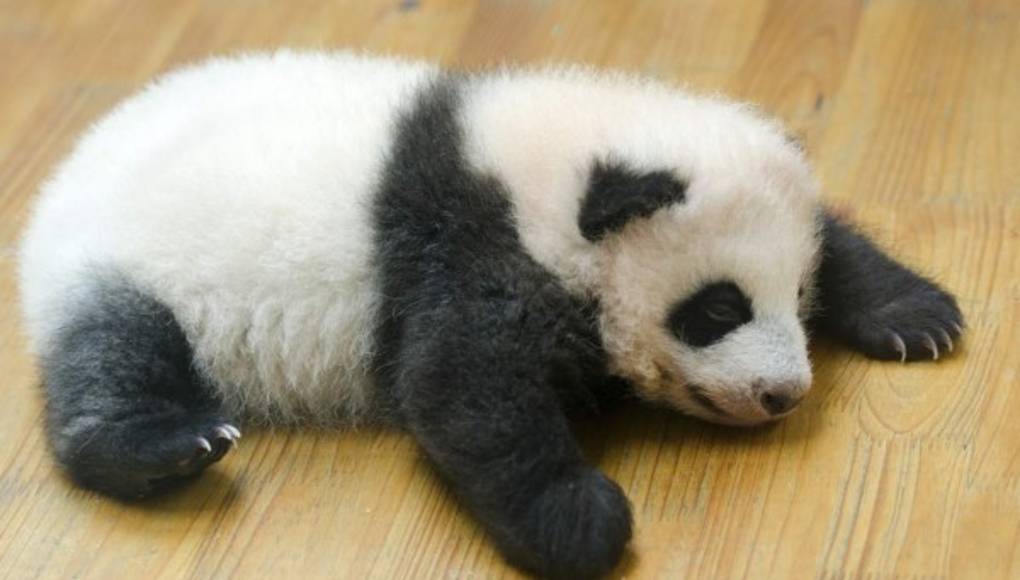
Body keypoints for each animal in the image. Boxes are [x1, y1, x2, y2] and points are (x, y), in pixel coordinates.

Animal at [18, 51, 963, 578]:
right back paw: (169, 446)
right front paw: (582, 521)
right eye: (716, 309)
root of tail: (66, 174)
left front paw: (916, 311)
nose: (782, 393)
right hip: (126, 260)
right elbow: (465, 388)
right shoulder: (465, 251)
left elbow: (834, 231)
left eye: (797, 299)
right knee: (115, 351)